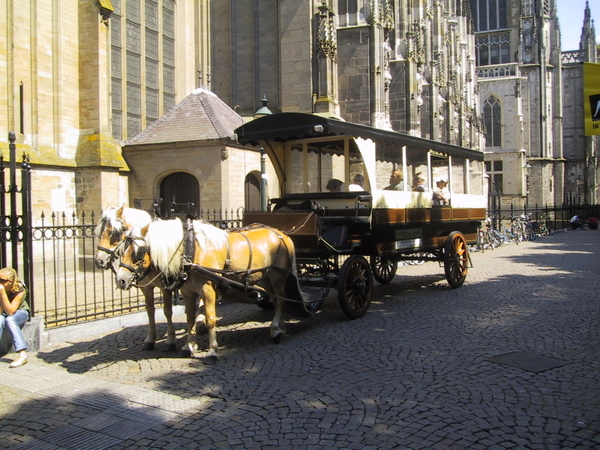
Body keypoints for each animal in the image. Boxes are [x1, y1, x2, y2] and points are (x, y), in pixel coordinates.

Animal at [94, 205, 180, 352]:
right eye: (100, 232)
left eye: (114, 233)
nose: (99, 260)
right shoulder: (146, 287)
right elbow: (150, 310)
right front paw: (150, 338)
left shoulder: (166, 287)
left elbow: (167, 311)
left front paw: (170, 339)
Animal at [116, 218, 304, 362]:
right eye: (120, 250)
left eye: (139, 251)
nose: (121, 280)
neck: (191, 250)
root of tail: (281, 234)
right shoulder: (187, 291)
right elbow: (190, 318)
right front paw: (188, 346)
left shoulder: (207, 290)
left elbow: (211, 318)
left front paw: (212, 351)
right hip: (265, 278)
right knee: (275, 300)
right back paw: (281, 327)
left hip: (277, 277)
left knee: (280, 301)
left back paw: (276, 330)